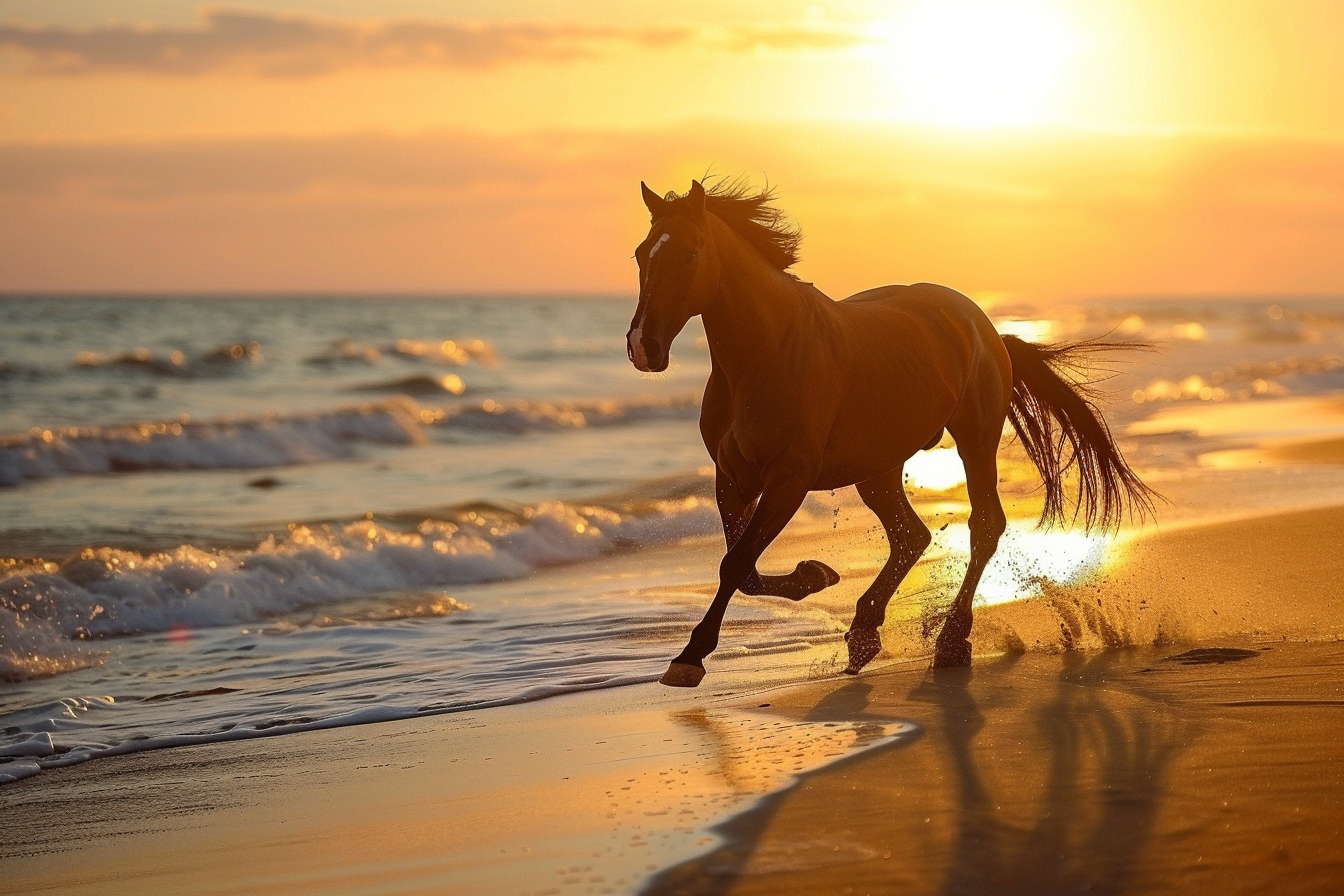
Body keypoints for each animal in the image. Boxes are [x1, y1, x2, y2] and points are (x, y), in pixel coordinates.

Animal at [627, 179, 1154, 687]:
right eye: (639, 253)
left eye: (691, 253)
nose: (642, 346)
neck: (766, 357)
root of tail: (983, 326)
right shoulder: (733, 477)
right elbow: (744, 567)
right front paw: (815, 574)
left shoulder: (789, 480)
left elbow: (737, 564)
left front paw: (689, 659)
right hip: (877, 469)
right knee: (910, 535)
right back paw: (864, 633)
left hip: (975, 440)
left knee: (983, 526)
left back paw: (950, 640)